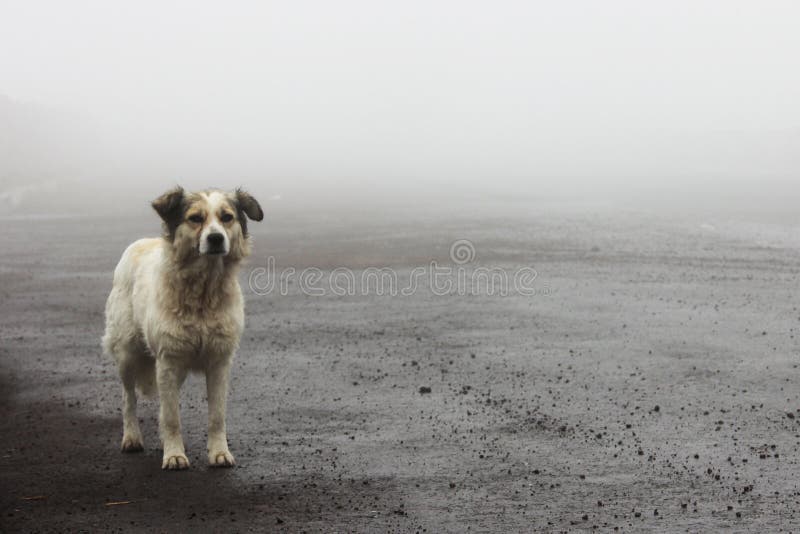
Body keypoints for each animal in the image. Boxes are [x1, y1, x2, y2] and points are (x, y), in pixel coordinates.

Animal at [101, 186, 264, 472]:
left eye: (227, 217)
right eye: (195, 218)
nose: (215, 238)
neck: (203, 293)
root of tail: (138, 244)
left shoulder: (219, 362)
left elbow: (216, 416)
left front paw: (219, 453)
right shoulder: (168, 360)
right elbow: (172, 417)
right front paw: (174, 455)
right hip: (128, 354)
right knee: (128, 399)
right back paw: (131, 437)